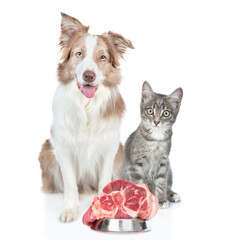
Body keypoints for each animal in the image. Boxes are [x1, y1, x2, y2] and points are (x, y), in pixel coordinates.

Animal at [38, 12, 134, 223]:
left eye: (103, 57)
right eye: (79, 54)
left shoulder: (110, 147)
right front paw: (69, 209)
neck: (86, 106)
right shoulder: (63, 147)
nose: (89, 76)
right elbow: (70, 183)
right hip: (46, 150)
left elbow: (105, 180)